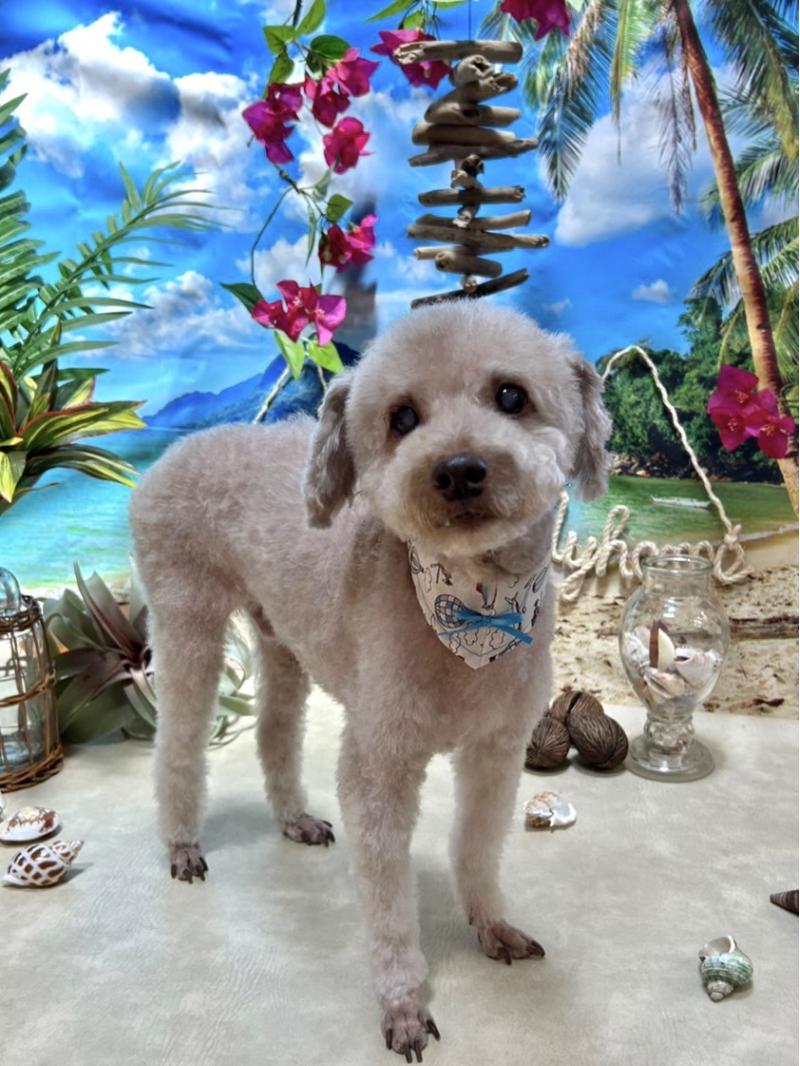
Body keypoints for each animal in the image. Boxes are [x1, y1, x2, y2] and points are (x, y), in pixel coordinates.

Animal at [129, 301, 611, 1060]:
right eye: (402, 417)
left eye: (511, 396)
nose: (459, 469)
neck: (474, 605)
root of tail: (170, 456)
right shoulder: (380, 764)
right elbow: (387, 902)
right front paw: (403, 1002)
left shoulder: (496, 750)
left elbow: (478, 847)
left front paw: (490, 925)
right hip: (187, 624)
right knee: (176, 743)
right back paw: (181, 844)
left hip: (282, 639)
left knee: (275, 731)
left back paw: (293, 817)